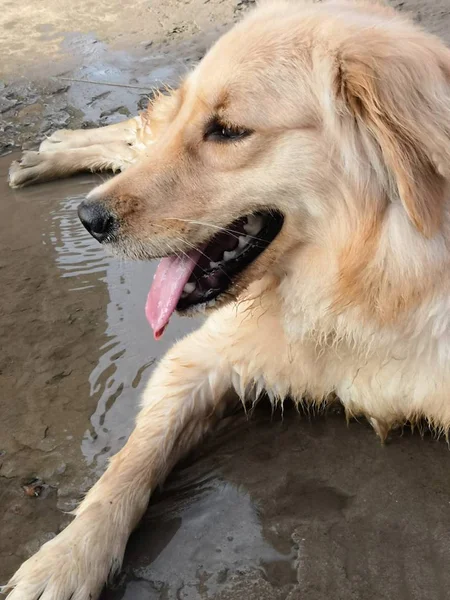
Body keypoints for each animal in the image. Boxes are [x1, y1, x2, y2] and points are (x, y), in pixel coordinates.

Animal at [5, 1, 450, 600]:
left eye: (229, 131)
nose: (87, 219)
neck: (359, 285)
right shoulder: (199, 357)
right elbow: (128, 464)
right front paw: (65, 559)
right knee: (137, 132)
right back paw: (51, 153)